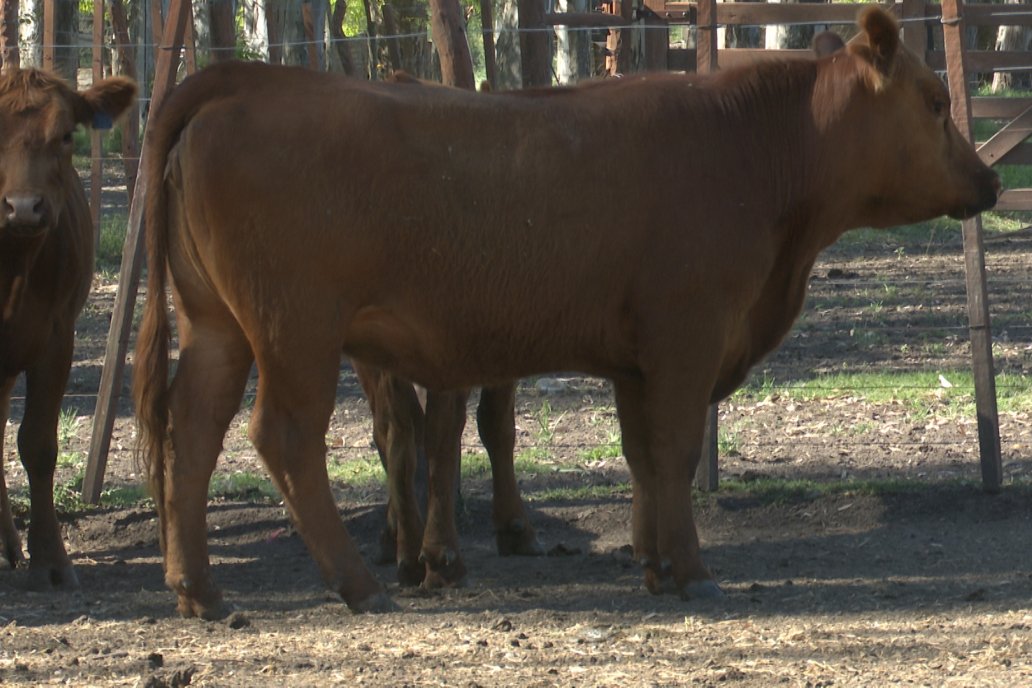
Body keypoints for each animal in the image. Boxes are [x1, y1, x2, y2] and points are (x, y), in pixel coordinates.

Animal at [135, 6, 998, 618]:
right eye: (936, 100)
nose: (989, 180)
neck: (753, 149)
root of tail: (249, 80)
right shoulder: (687, 337)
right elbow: (676, 450)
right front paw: (692, 571)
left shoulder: (635, 358)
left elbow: (643, 457)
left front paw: (654, 565)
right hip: (296, 331)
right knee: (283, 437)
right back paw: (356, 583)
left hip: (215, 325)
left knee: (190, 432)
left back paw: (200, 591)